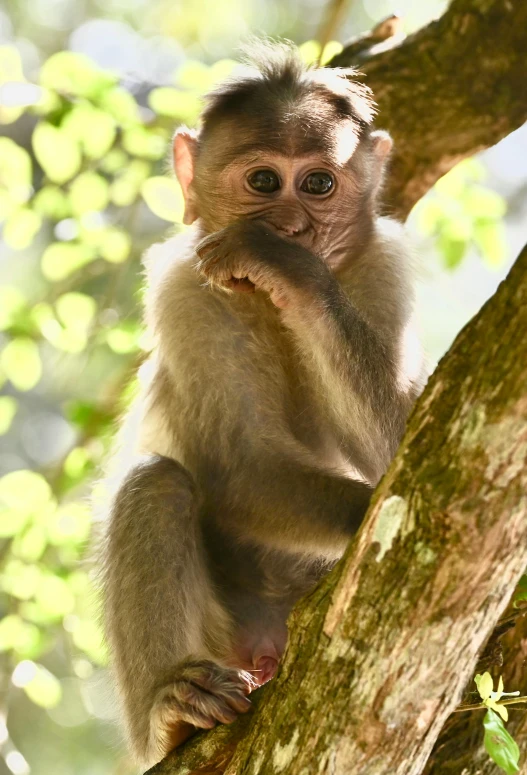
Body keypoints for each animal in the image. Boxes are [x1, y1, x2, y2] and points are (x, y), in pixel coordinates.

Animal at [100, 41, 428, 768]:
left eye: (317, 184)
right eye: (262, 181)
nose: (289, 227)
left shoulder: (385, 265)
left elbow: (410, 446)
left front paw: (291, 270)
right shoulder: (185, 285)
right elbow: (240, 469)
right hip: (226, 639)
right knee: (157, 485)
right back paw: (170, 716)